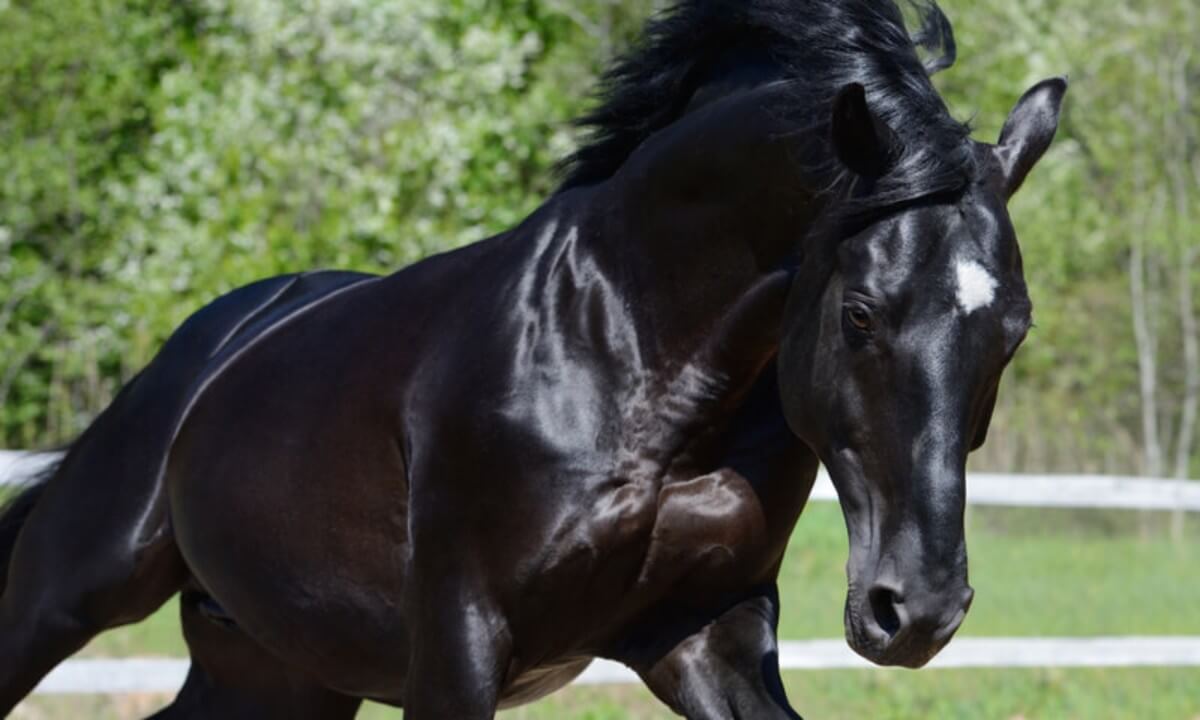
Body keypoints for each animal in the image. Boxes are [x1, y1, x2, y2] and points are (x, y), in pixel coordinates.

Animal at [0, 1, 1066, 717]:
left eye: (1012, 329)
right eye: (859, 312)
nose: (915, 610)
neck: (632, 361)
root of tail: (209, 344)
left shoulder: (705, 632)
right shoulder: (459, 642)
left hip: (274, 664)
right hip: (76, 587)